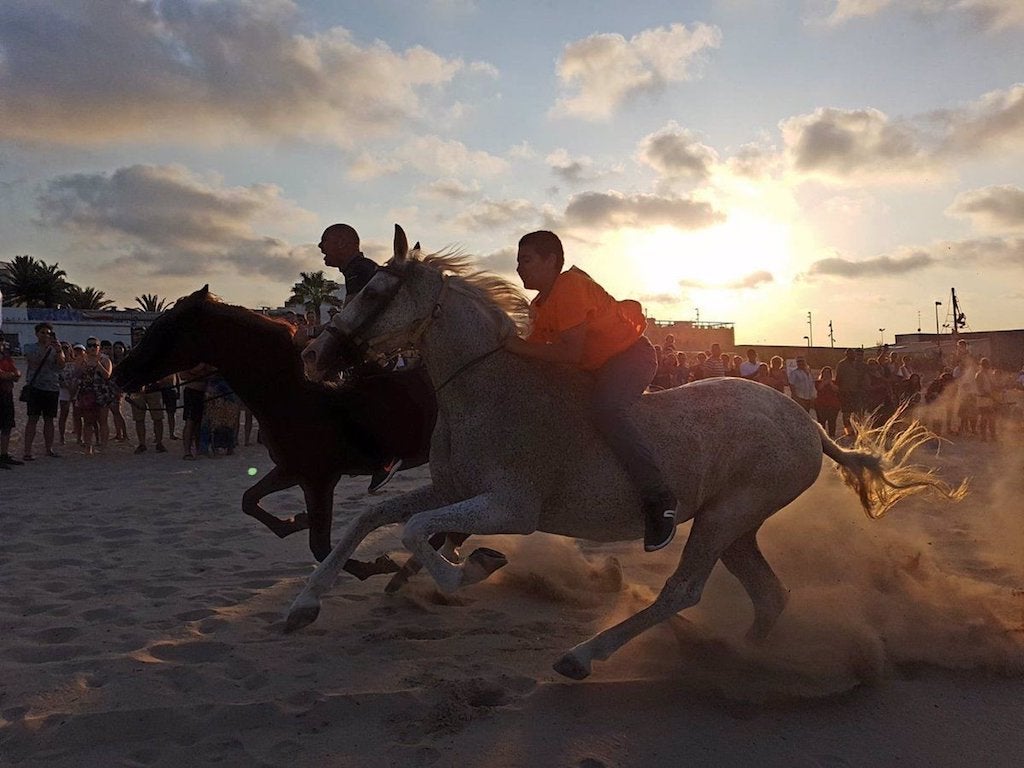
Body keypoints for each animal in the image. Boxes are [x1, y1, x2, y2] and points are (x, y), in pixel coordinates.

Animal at [114, 286, 438, 577]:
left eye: (166, 328)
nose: (119, 373)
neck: (293, 397)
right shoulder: (291, 472)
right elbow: (249, 501)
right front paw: (295, 522)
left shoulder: (319, 480)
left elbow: (321, 548)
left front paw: (376, 566)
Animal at [290, 224, 966, 679]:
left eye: (373, 290)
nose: (314, 356)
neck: (484, 389)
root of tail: (806, 422)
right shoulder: (452, 488)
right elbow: (372, 517)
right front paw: (303, 605)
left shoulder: (510, 507)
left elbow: (418, 533)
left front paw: (473, 567)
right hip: (736, 524)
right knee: (768, 595)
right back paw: (738, 657)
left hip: (728, 516)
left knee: (683, 592)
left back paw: (585, 656)